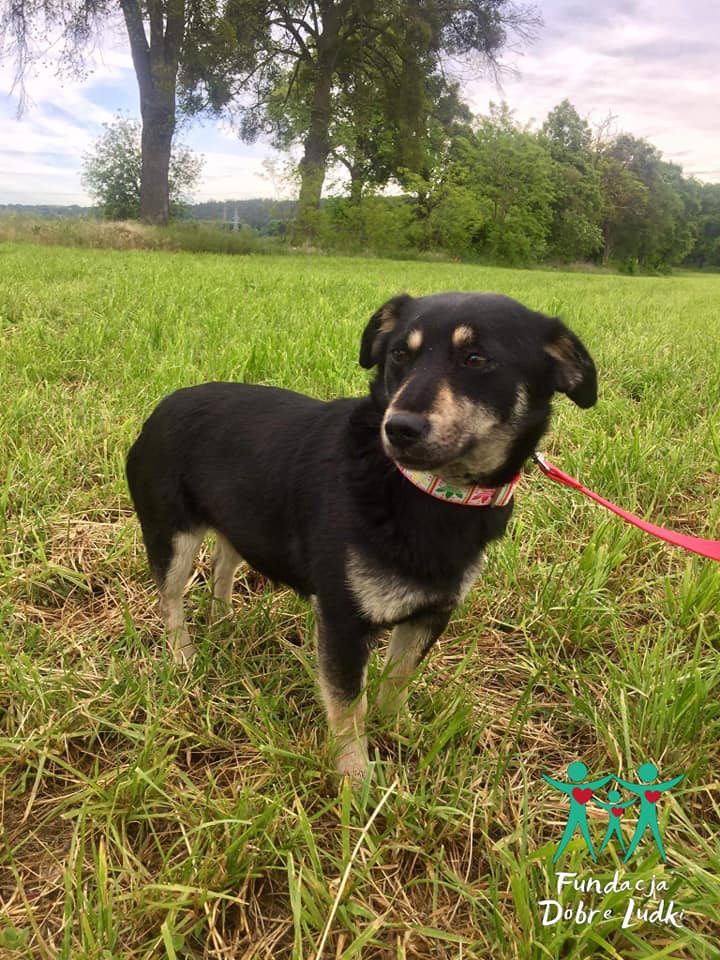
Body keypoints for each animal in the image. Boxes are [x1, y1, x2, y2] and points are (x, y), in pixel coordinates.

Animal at [126, 291, 596, 775]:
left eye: (476, 358)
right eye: (399, 355)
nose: (400, 428)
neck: (426, 489)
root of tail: (163, 405)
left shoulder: (430, 613)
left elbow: (397, 680)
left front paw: (400, 732)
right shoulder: (343, 620)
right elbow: (349, 707)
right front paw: (356, 778)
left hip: (239, 521)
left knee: (223, 565)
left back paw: (222, 622)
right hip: (171, 533)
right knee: (171, 600)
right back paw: (183, 661)